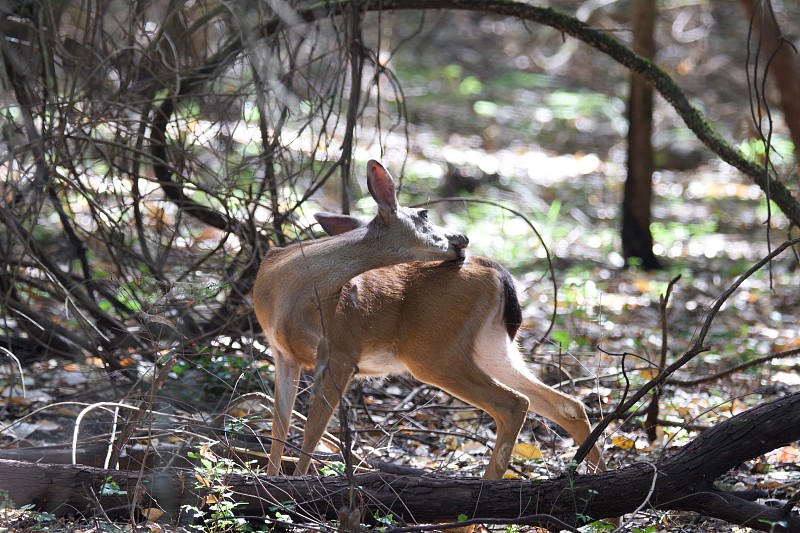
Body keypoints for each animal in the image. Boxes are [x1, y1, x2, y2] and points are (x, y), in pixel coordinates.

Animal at [253, 158, 604, 478]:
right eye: (423, 214)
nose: (461, 237)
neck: (286, 291)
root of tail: (496, 271)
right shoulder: (284, 353)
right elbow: (280, 424)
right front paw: (272, 482)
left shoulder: (341, 351)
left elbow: (312, 430)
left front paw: (298, 488)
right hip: (491, 346)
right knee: (566, 404)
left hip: (434, 351)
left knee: (515, 403)